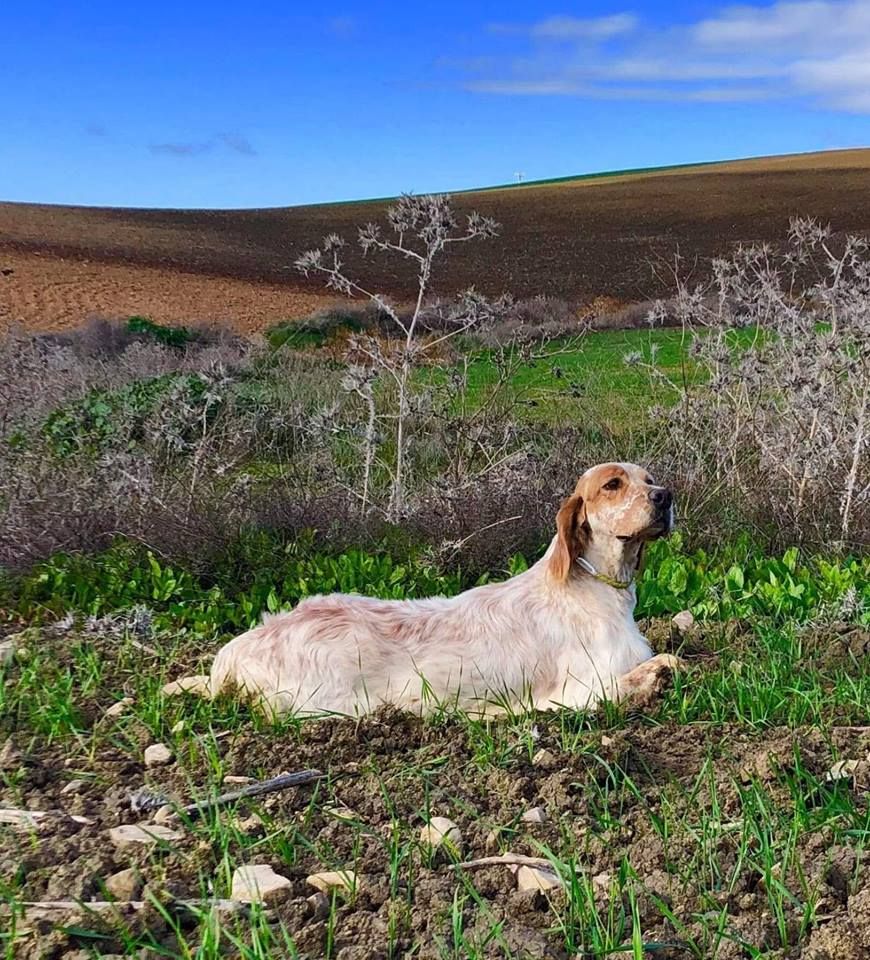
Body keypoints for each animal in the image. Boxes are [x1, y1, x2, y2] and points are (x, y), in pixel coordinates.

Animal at [209, 462, 680, 716]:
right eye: (612, 484)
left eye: (649, 478)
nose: (665, 496)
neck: (597, 587)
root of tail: (232, 654)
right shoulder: (579, 691)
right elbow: (657, 667)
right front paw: (658, 676)